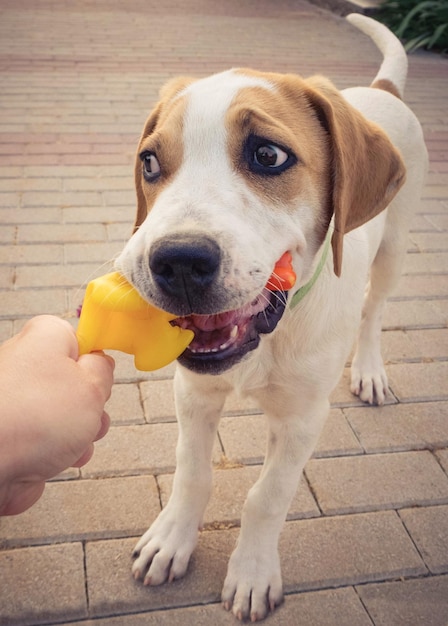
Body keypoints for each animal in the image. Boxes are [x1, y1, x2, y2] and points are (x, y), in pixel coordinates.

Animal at [114, 13, 428, 620]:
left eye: (268, 156)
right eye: (150, 162)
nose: (177, 262)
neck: (270, 341)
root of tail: (380, 91)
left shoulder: (304, 417)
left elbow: (267, 496)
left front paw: (253, 573)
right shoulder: (193, 393)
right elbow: (192, 472)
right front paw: (171, 539)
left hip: (395, 249)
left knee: (374, 310)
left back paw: (370, 370)